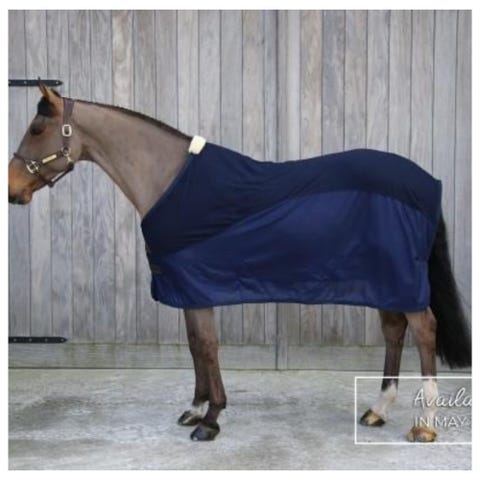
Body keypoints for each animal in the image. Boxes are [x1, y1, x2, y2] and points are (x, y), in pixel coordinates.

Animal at [8, 84, 471, 442]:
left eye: (37, 129)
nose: (12, 190)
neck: (171, 181)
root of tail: (427, 182)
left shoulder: (197, 284)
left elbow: (208, 347)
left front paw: (210, 420)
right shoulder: (187, 288)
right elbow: (195, 345)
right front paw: (196, 409)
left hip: (401, 279)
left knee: (424, 330)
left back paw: (425, 425)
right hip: (384, 279)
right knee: (394, 330)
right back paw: (378, 409)